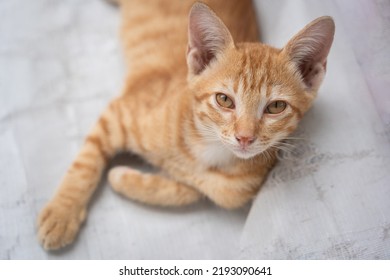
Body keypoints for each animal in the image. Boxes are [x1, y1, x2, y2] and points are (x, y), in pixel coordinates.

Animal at [37, 0, 336, 249]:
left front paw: (125, 178)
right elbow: (85, 164)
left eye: (275, 107)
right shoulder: (118, 113)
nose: (245, 137)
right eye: (224, 100)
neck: (207, 149)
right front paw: (62, 214)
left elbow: (191, 192)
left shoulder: (231, 190)